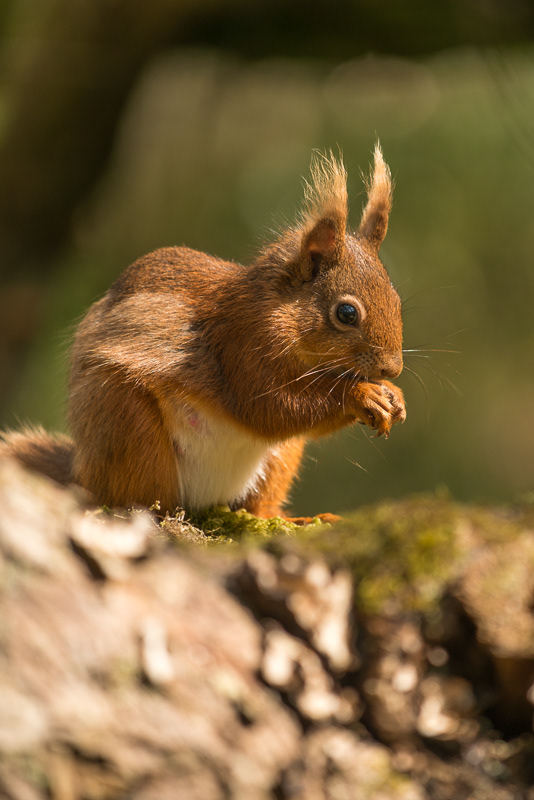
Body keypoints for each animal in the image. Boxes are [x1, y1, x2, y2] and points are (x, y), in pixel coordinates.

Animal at [1, 145, 406, 518]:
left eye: (397, 299)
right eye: (346, 313)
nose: (393, 368)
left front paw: (394, 396)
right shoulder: (242, 344)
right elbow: (271, 409)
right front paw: (361, 395)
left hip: (281, 458)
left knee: (261, 502)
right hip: (125, 422)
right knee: (136, 493)